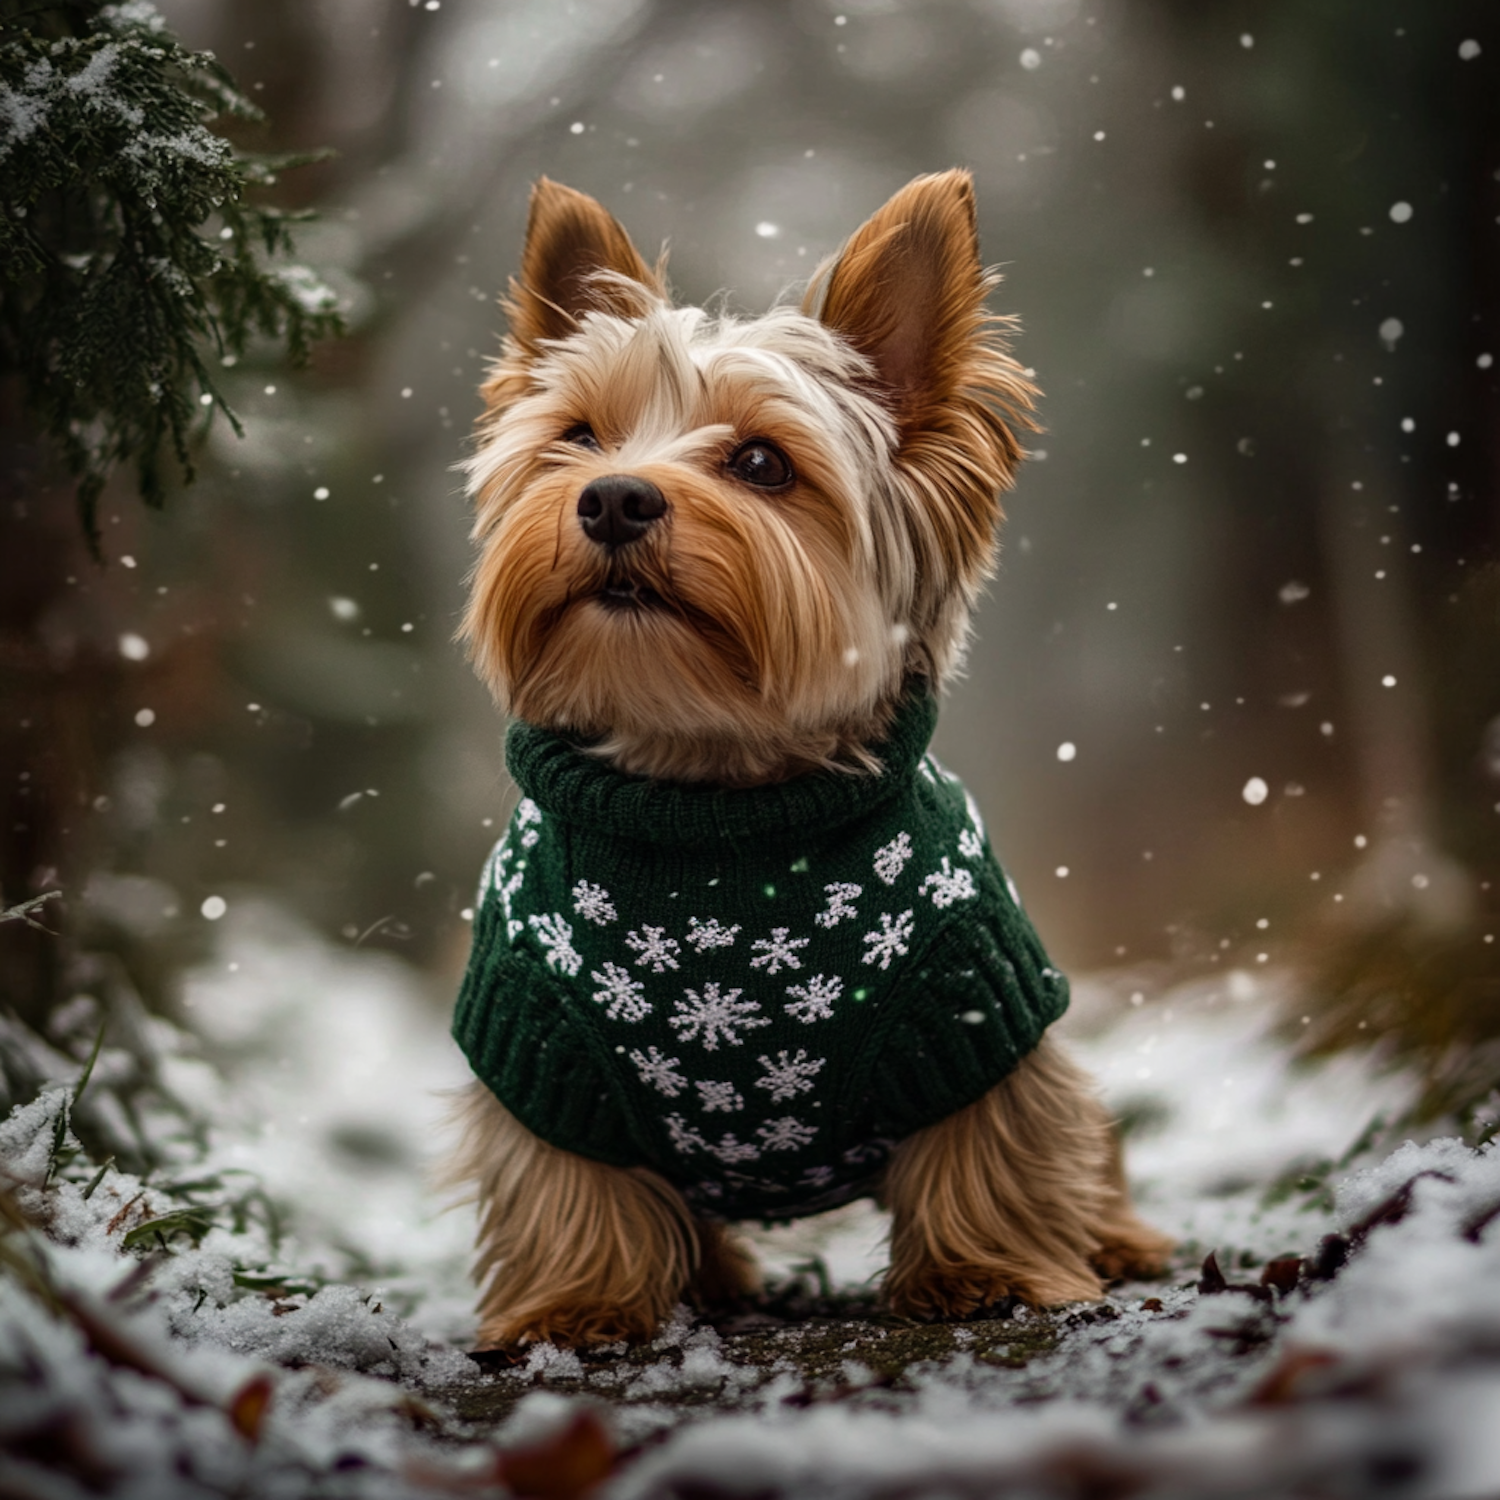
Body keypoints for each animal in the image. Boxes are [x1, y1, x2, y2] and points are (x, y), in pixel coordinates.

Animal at [444, 167, 1170, 1350]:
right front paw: (576, 1302)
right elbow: (564, 1182)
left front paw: (987, 1273)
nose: (613, 497)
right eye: (578, 439)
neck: (712, 802)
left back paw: (1117, 1241)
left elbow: (995, 1138)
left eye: (760, 463)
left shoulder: (976, 998)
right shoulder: (533, 1035)